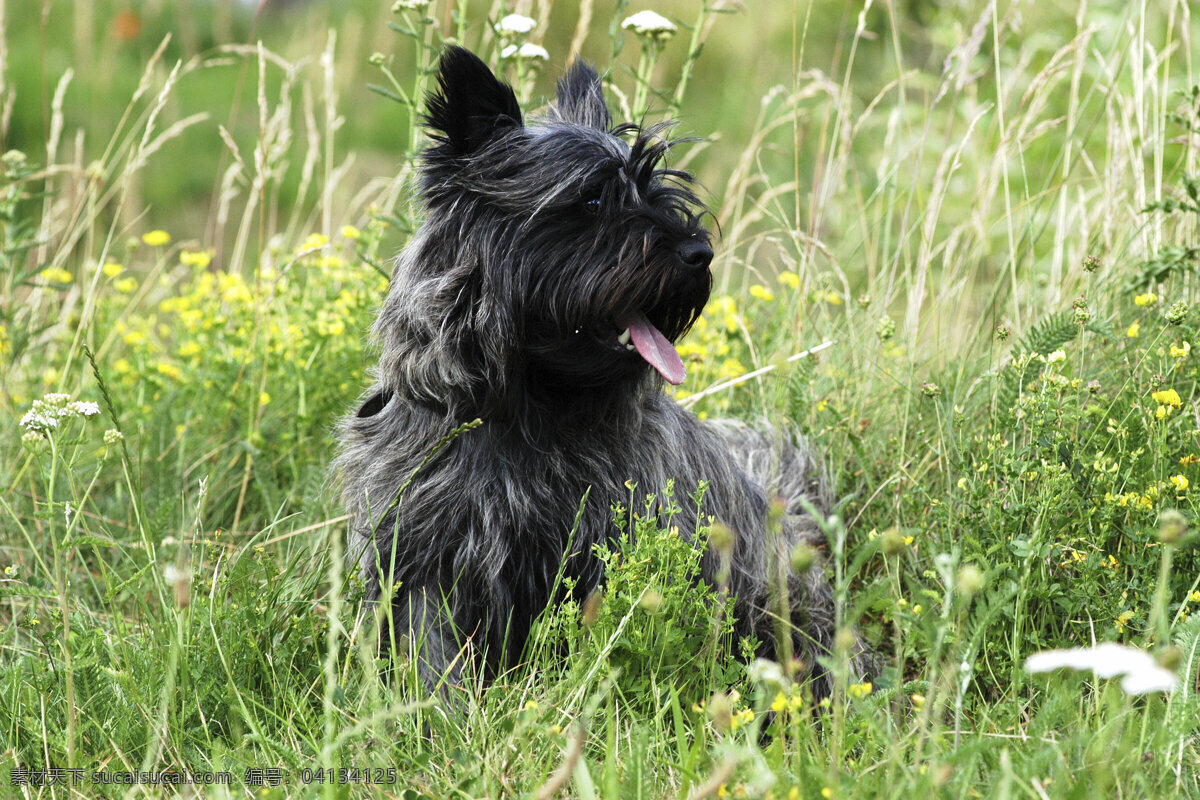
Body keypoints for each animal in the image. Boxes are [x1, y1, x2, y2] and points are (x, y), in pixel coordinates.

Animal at [338, 47, 864, 705]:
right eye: (590, 202)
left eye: (657, 190)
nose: (699, 254)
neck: (532, 410)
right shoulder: (425, 558)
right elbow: (432, 656)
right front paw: (436, 715)